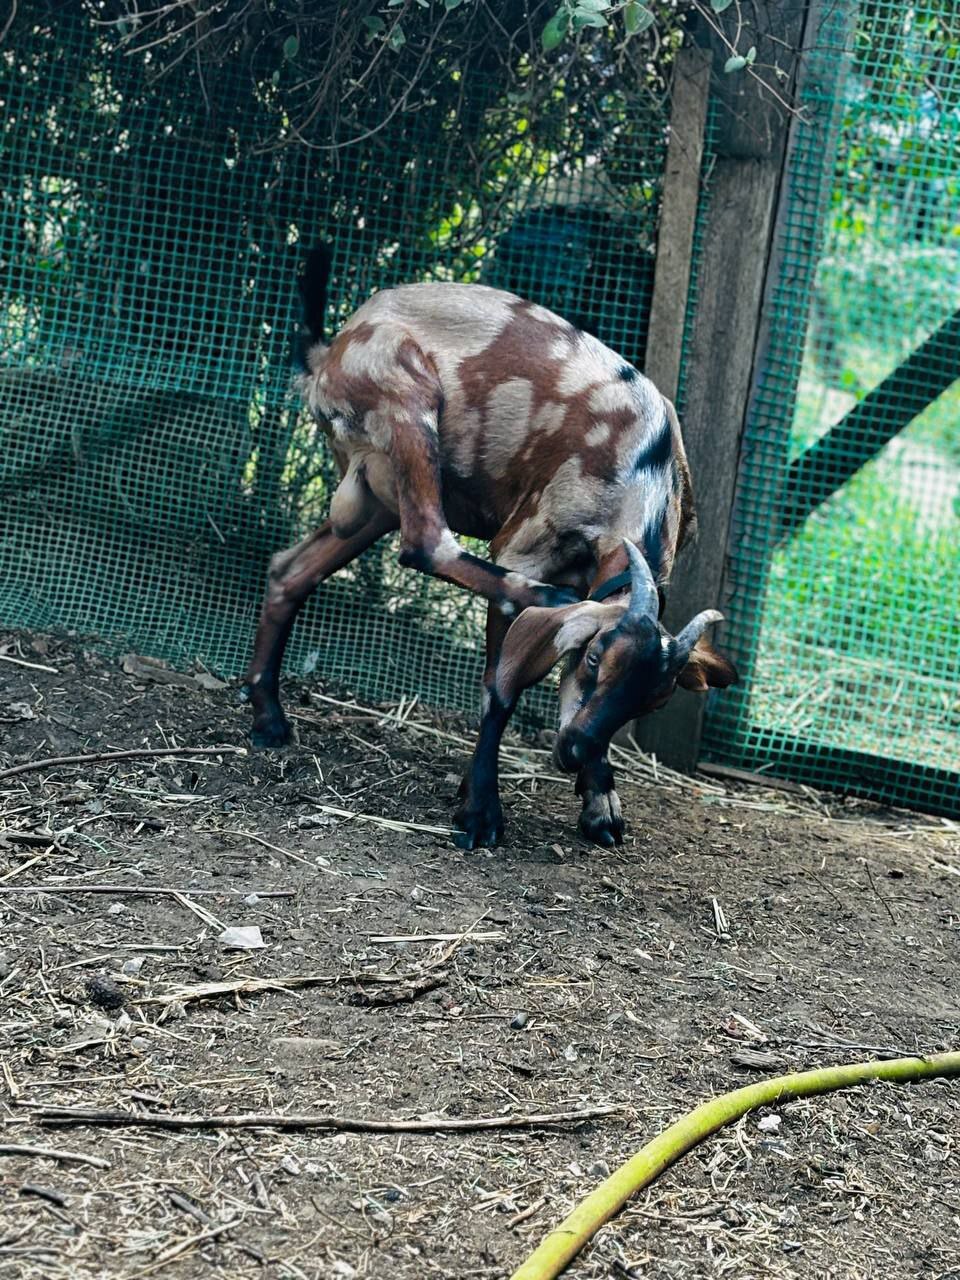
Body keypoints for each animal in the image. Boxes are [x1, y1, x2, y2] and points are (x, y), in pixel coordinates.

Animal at [244, 248, 742, 849]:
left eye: (653, 699)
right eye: (595, 657)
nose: (574, 751)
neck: (644, 462)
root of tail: (332, 348)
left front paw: (600, 801)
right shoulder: (522, 547)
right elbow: (497, 689)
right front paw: (479, 809)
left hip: (374, 499)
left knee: (289, 570)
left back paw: (269, 718)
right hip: (410, 406)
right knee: (426, 541)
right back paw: (548, 600)